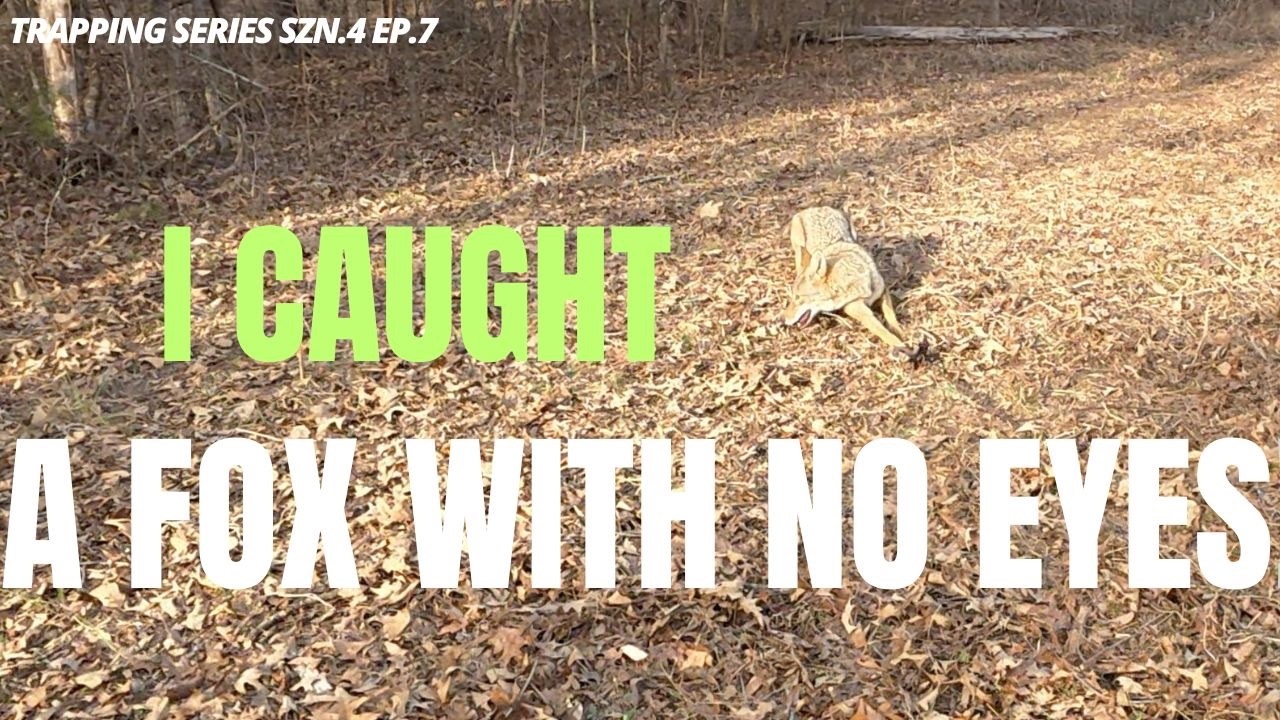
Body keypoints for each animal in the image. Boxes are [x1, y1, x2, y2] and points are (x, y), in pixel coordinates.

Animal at [782, 206, 907, 349]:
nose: (783, 320)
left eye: (798, 298)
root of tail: (814, 208)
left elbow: (890, 315)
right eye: (793, 298)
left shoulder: (883, 291)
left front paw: (899, 332)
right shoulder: (856, 308)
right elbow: (879, 328)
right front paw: (898, 344)